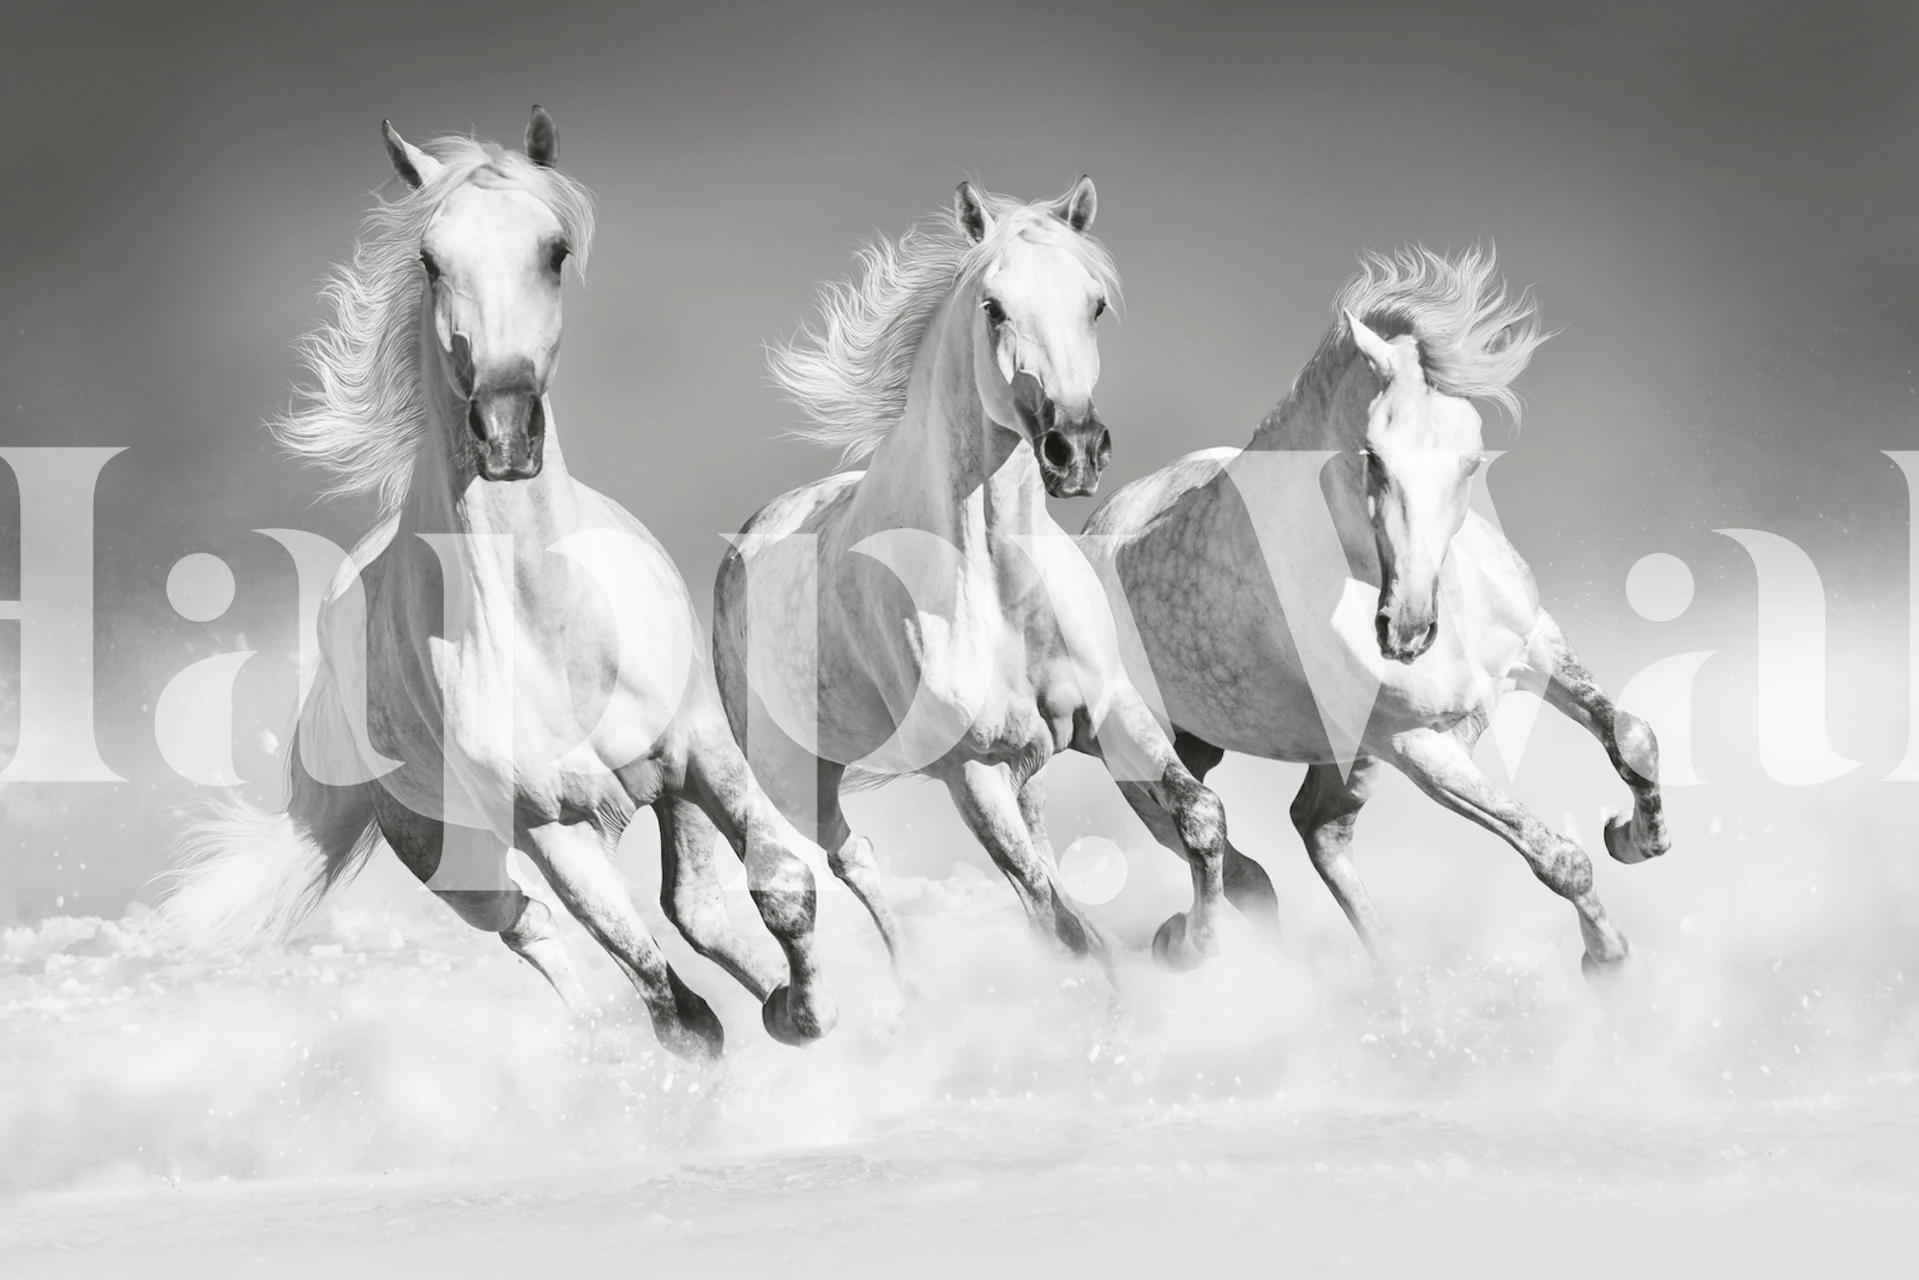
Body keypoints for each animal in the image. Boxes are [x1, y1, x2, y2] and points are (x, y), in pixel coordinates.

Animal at [159, 109, 841, 1058]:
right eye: (429, 259)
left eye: (554, 251)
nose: (506, 430)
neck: (553, 628)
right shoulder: (552, 825)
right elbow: (669, 1003)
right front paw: (763, 1026)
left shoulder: (700, 752)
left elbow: (779, 886)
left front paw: (805, 1012)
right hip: (453, 858)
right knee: (537, 930)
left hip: (669, 793)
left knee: (694, 909)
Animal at [712, 179, 1279, 977]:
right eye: (993, 306)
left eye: (1093, 304)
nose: (1075, 449)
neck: (1002, 588)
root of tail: (750, 537)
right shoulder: (971, 772)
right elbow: (1056, 923)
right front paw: (1162, 957)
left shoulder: (1114, 713)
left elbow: (1199, 817)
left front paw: (1189, 944)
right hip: (797, 777)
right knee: (852, 859)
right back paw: (910, 987)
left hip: (1022, 761)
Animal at [1080, 245, 1670, 974]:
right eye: (1373, 458)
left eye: (1471, 461)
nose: (1407, 630)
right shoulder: (1415, 744)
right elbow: (1555, 856)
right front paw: (1607, 959)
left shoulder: (1536, 646)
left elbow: (1633, 738)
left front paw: (1633, 838)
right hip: (1140, 750)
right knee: (1221, 843)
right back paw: (1194, 944)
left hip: (1286, 752)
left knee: (1316, 830)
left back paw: (1393, 979)